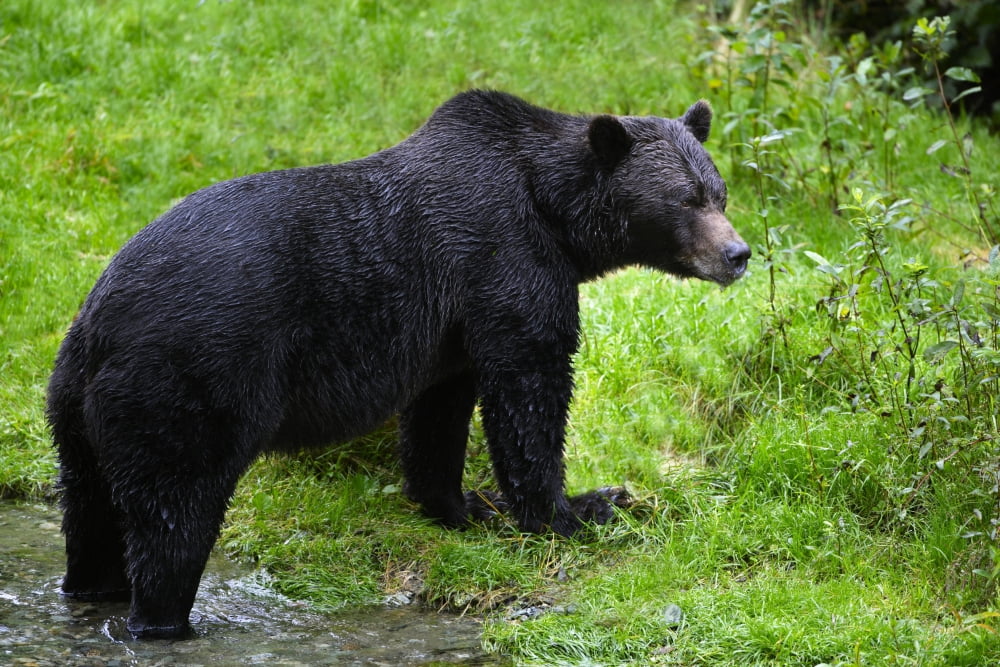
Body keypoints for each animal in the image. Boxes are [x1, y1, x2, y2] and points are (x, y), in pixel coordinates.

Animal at [46, 90, 749, 639]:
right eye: (686, 199)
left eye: (718, 192)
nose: (737, 253)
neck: (553, 213)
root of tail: (100, 323)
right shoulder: (505, 261)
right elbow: (530, 390)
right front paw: (576, 509)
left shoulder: (452, 323)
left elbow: (440, 410)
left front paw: (460, 505)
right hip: (189, 383)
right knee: (175, 515)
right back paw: (166, 618)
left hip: (74, 409)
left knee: (90, 510)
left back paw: (91, 586)